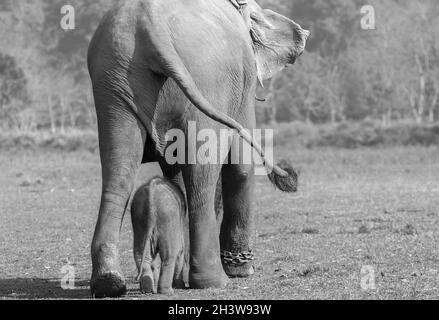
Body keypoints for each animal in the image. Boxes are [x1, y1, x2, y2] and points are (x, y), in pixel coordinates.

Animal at [87, 0, 310, 298]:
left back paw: (109, 282)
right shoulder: (244, 80)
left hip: (113, 81)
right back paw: (213, 280)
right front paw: (242, 270)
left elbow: (173, 168)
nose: (290, 173)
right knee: (201, 175)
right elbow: (239, 165)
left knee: (118, 169)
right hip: (207, 79)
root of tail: (150, 24)